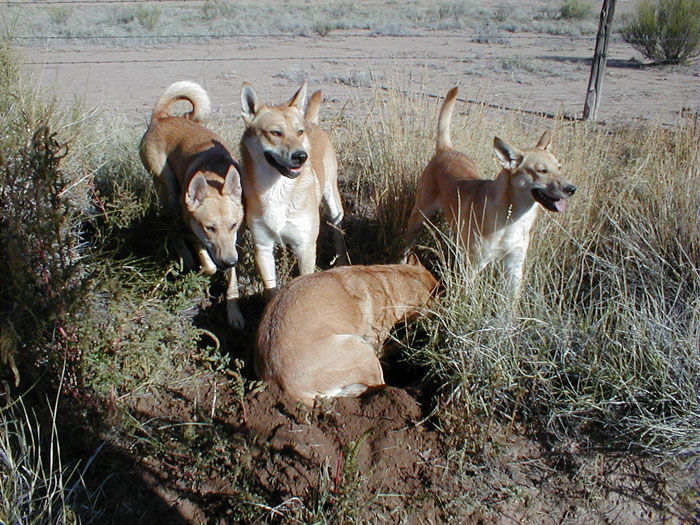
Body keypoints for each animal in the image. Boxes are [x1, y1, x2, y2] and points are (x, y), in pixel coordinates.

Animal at [139, 80, 246, 328]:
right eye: (210, 228)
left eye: (233, 225)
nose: (229, 261)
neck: (213, 174)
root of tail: (161, 117)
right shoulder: (196, 228)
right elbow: (208, 262)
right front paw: (207, 266)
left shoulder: (233, 244)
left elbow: (232, 281)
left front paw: (234, 312)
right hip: (169, 192)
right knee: (174, 230)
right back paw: (186, 258)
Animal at [241, 80, 350, 296]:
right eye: (275, 132)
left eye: (299, 132)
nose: (301, 156)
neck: (277, 190)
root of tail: (311, 123)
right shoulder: (263, 248)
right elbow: (271, 289)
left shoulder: (305, 247)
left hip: (333, 204)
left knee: (338, 235)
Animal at [404, 88, 576, 296]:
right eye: (542, 171)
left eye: (559, 168)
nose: (572, 189)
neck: (512, 217)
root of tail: (446, 149)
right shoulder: (473, 267)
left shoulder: (514, 267)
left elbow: (511, 303)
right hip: (418, 218)